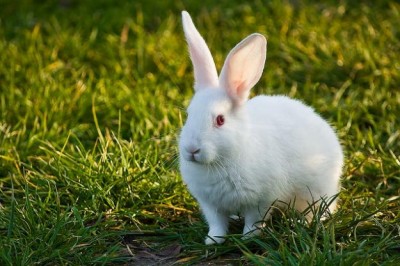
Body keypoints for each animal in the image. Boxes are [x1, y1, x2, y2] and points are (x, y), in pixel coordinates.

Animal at [179, 11, 344, 245]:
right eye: (188, 114)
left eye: (220, 120)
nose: (192, 150)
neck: (221, 160)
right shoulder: (210, 204)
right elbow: (217, 223)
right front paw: (213, 240)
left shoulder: (261, 199)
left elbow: (254, 220)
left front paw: (248, 237)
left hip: (316, 191)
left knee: (318, 211)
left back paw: (299, 223)